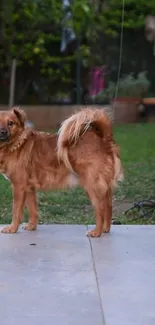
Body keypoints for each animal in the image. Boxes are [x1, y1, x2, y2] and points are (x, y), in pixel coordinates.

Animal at [0, 106, 123, 235]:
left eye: (10, 123)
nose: (2, 132)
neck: (16, 143)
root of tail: (104, 138)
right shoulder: (29, 189)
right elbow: (32, 209)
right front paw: (31, 226)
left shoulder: (19, 187)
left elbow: (16, 211)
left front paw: (12, 228)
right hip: (104, 188)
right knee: (108, 206)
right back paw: (105, 229)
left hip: (92, 186)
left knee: (100, 210)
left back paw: (96, 232)